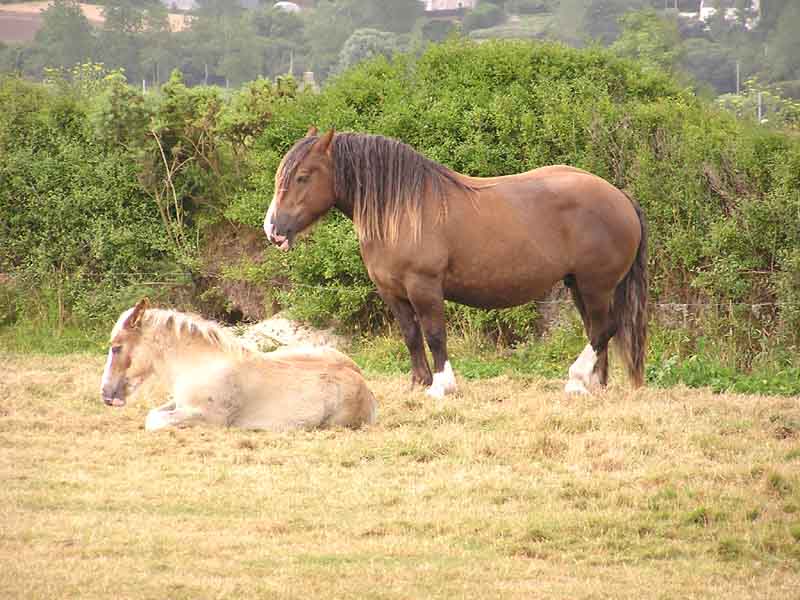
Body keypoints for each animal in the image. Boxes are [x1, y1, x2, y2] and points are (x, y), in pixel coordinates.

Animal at [100, 299, 377, 431]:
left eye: (116, 347)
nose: (106, 394)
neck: (201, 365)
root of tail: (365, 387)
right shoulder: (178, 404)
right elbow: (154, 413)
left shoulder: (208, 419)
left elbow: (154, 420)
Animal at [264, 128, 648, 398]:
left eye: (302, 176)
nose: (273, 229)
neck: (403, 210)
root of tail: (620, 197)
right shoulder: (392, 292)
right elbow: (411, 335)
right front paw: (418, 383)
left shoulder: (424, 287)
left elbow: (434, 335)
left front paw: (441, 385)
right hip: (579, 285)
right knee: (599, 331)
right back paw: (592, 385)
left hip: (596, 285)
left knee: (603, 329)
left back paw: (575, 379)